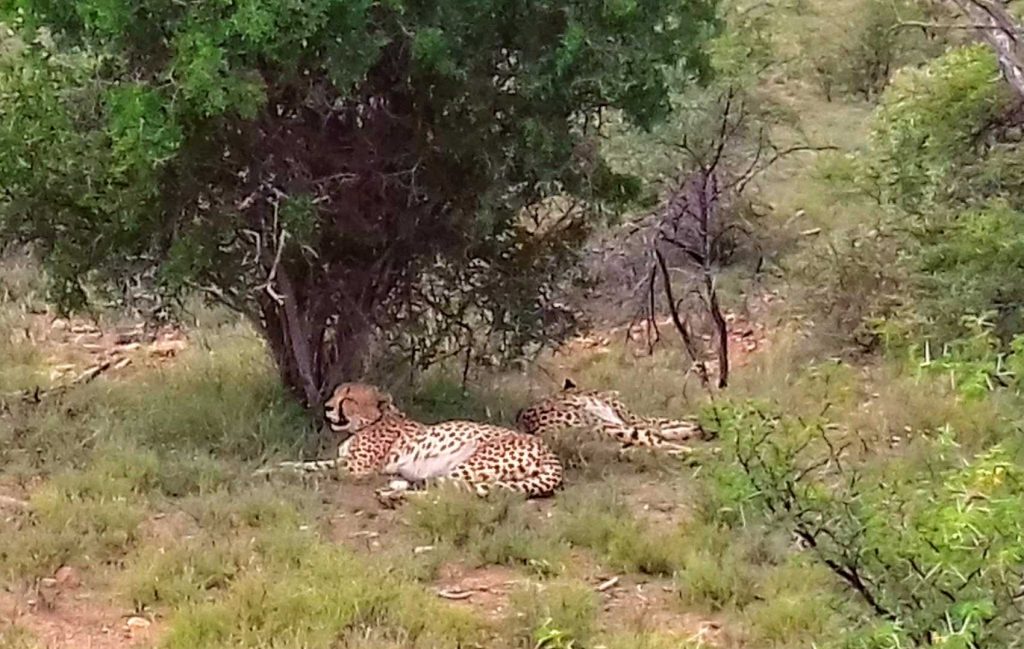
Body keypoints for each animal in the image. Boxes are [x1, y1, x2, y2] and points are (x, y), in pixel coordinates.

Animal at [322, 383, 563, 499]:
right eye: (335, 393)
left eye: (349, 399)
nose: (327, 406)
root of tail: (548, 449)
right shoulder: (346, 461)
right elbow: (318, 464)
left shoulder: (356, 468)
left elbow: (323, 469)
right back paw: (396, 488)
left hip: (470, 464)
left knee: (447, 492)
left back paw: (392, 495)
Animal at [515, 378, 703, 453]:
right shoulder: (638, 421)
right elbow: (670, 423)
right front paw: (697, 427)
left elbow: (672, 426)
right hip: (608, 427)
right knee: (656, 444)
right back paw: (696, 452)